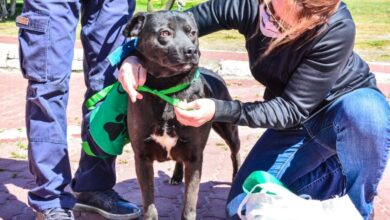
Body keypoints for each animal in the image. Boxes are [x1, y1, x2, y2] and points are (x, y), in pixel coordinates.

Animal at [125, 10, 241, 220]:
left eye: (192, 32)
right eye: (165, 33)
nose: (192, 51)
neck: (168, 88)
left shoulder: (195, 157)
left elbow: (189, 203)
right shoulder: (142, 157)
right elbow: (149, 204)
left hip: (228, 129)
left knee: (235, 151)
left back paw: (236, 175)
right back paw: (176, 175)